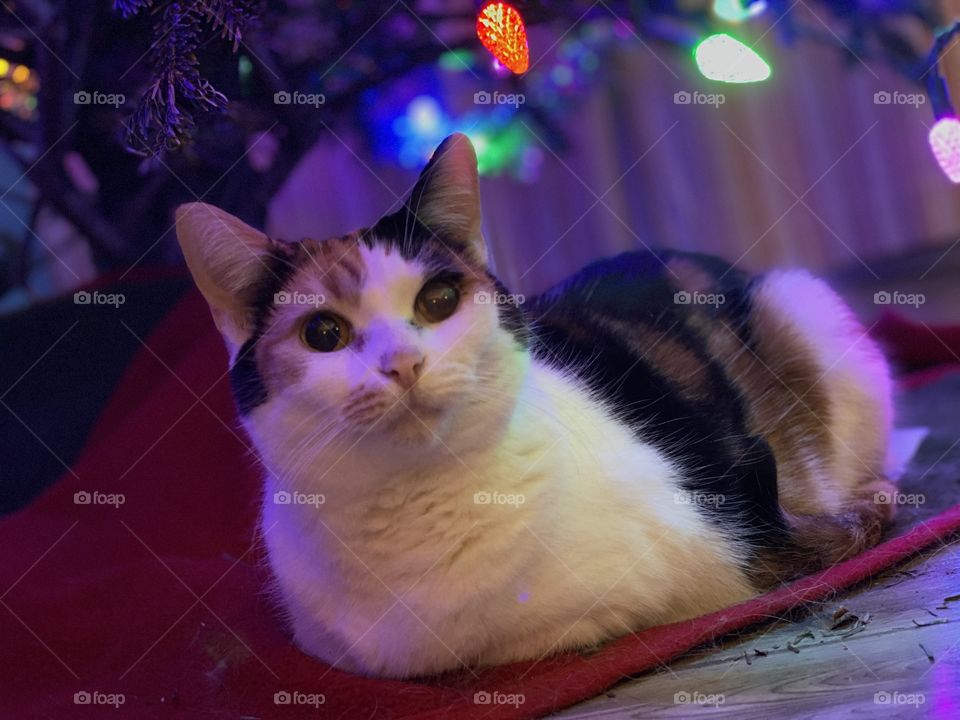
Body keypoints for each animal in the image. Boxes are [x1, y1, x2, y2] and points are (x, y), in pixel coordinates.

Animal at [176, 132, 896, 676]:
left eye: (439, 300)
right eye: (323, 334)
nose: (402, 364)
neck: (411, 506)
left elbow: (552, 630)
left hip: (809, 312)